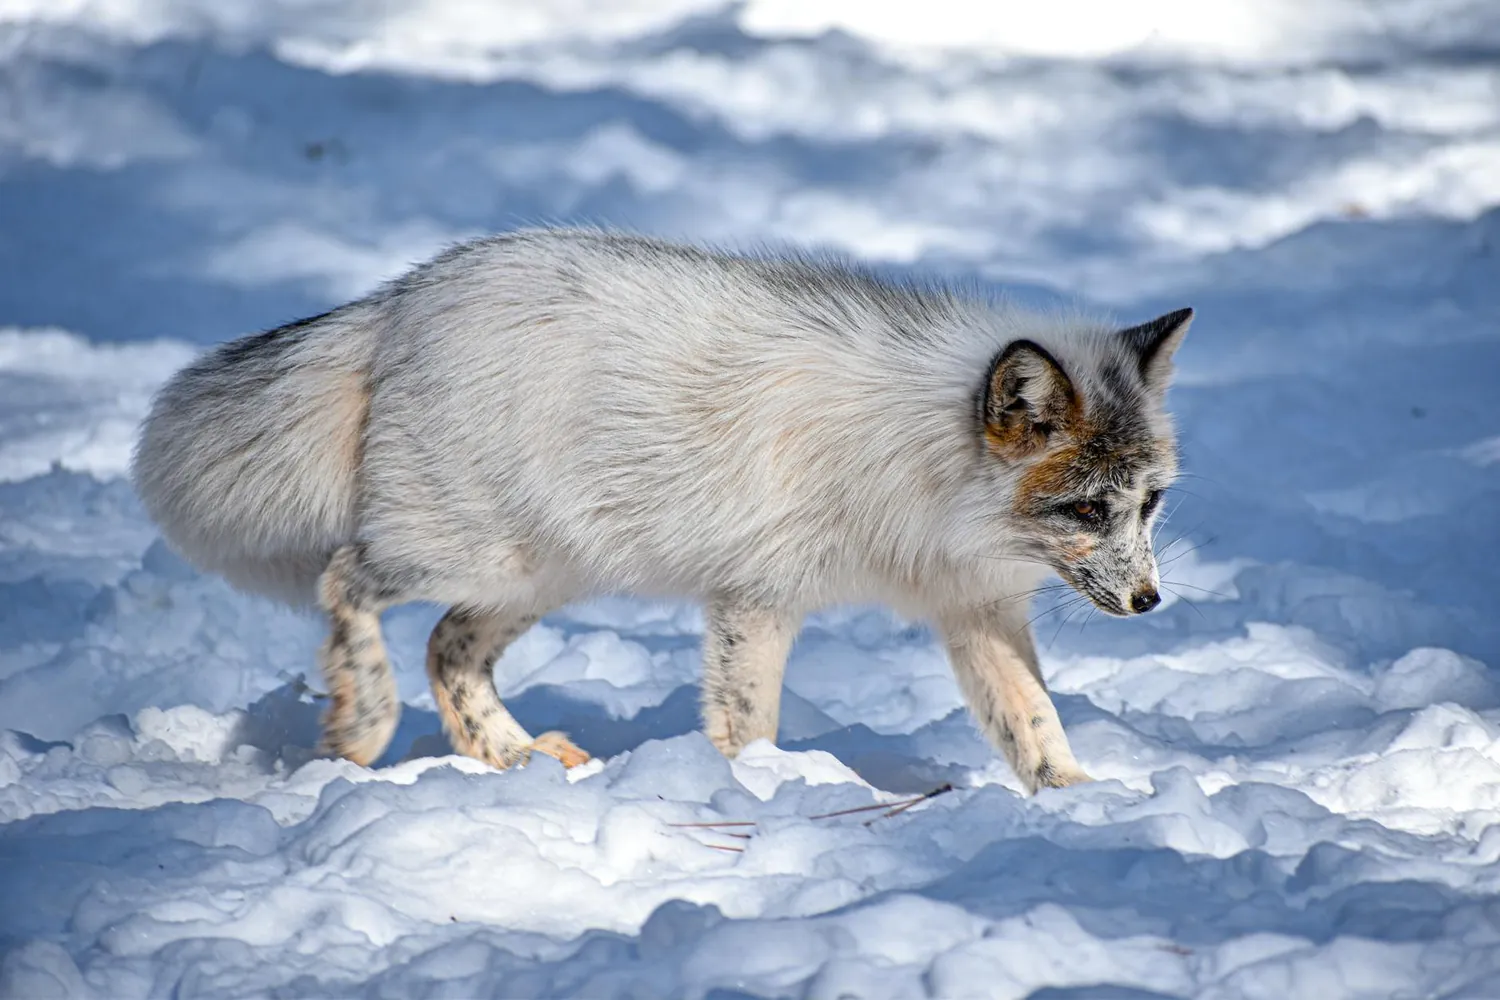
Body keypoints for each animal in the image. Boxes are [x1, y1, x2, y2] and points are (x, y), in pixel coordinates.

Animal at [132, 228, 1191, 794]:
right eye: (1087, 509)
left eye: (1149, 504)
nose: (1150, 603)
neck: (925, 473)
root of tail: (405, 296)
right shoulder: (757, 599)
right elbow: (746, 721)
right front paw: (763, 794)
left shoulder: (974, 609)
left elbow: (1036, 725)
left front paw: (1076, 804)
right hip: (468, 554)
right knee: (345, 581)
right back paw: (363, 724)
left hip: (543, 574)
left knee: (445, 648)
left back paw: (510, 756)